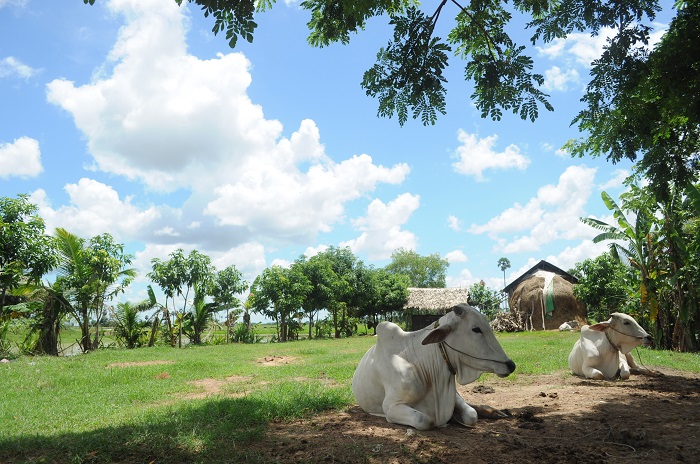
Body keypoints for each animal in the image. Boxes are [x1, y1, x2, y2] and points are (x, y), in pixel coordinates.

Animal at [352, 302, 516, 430]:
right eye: (476, 329)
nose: (511, 365)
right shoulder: (391, 406)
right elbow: (424, 420)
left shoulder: (451, 395)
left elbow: (471, 415)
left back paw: (493, 411)